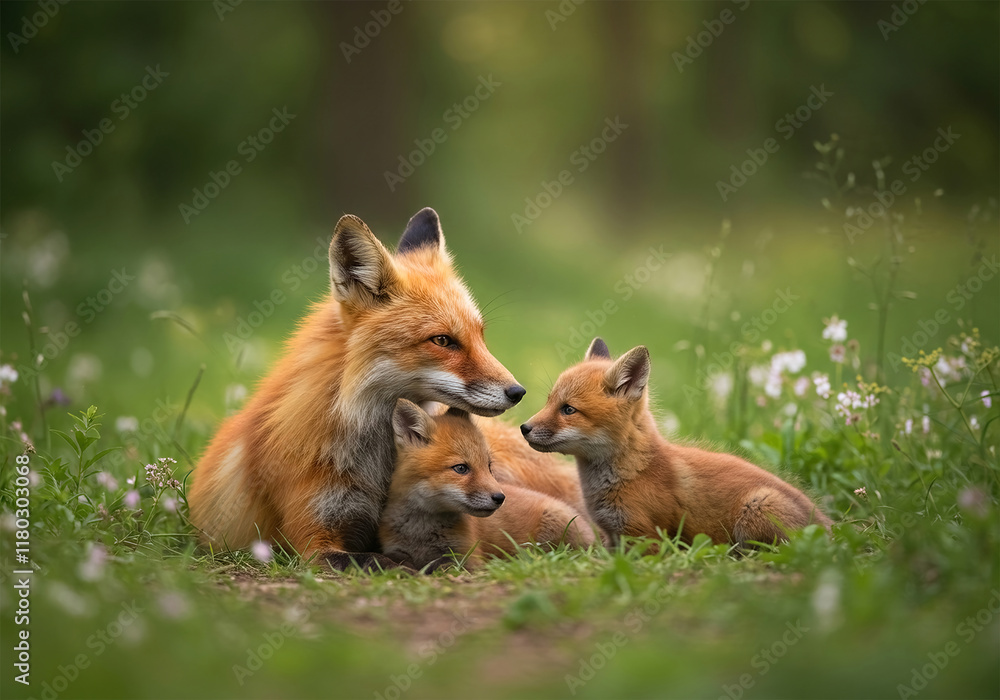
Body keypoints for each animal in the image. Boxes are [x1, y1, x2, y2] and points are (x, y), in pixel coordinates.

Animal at [380, 399, 597, 570]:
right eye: (461, 468)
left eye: (488, 467)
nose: (500, 498)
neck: (420, 531)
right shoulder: (396, 550)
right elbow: (399, 561)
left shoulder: (468, 558)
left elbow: (443, 566)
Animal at [520, 337, 832, 548]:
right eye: (549, 402)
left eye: (568, 409)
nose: (524, 428)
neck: (631, 472)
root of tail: (830, 526)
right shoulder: (612, 537)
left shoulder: (644, 538)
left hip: (756, 507)